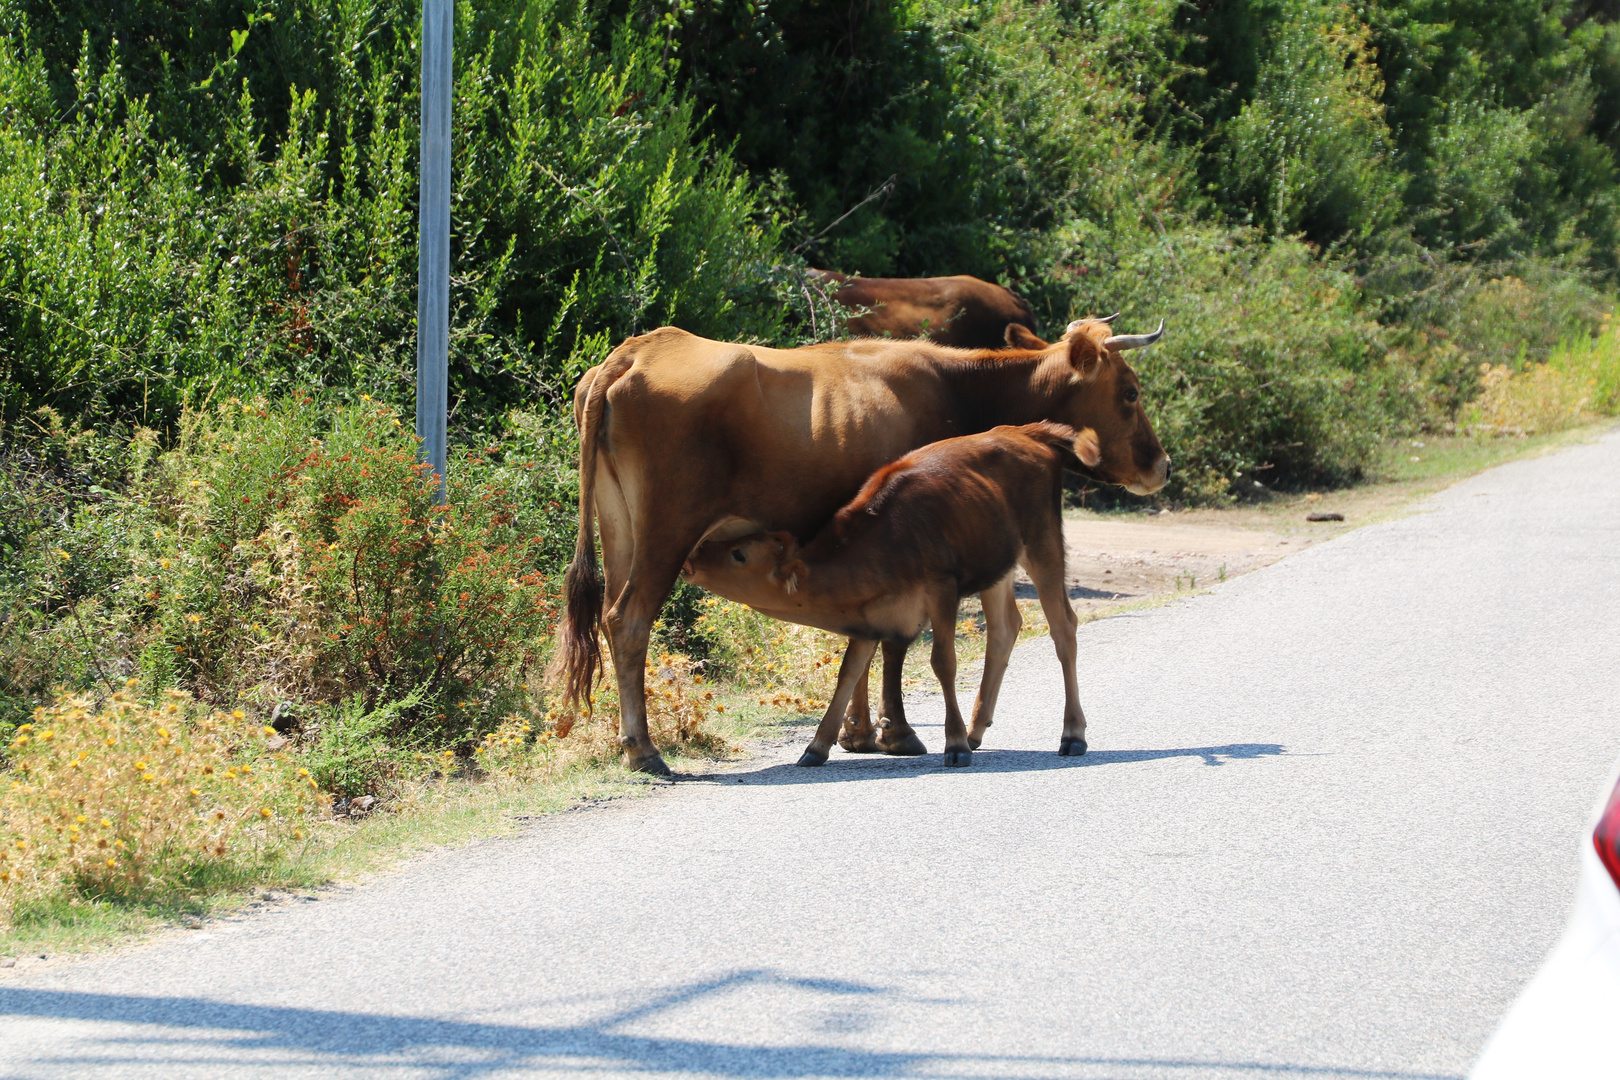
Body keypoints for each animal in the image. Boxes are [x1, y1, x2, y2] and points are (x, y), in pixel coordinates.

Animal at [683, 420, 1101, 767]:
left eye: (739, 554)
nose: (691, 557)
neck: (883, 541)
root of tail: (1026, 431)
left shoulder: (942, 589)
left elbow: (942, 661)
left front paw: (953, 745)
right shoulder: (872, 617)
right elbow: (848, 673)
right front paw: (816, 747)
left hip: (1043, 546)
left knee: (1063, 627)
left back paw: (1071, 735)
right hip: (997, 565)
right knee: (1004, 628)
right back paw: (976, 730)